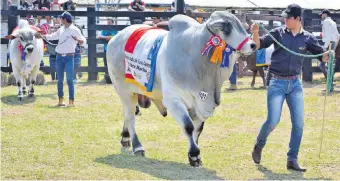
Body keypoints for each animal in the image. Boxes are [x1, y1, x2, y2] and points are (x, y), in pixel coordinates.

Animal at [106, 11, 255, 166]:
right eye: (226, 26)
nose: (252, 45)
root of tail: (115, 38)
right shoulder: (174, 100)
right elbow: (188, 126)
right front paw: (194, 154)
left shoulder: (201, 103)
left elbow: (198, 129)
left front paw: (194, 156)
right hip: (124, 91)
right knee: (130, 116)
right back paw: (137, 146)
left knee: (127, 114)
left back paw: (125, 138)